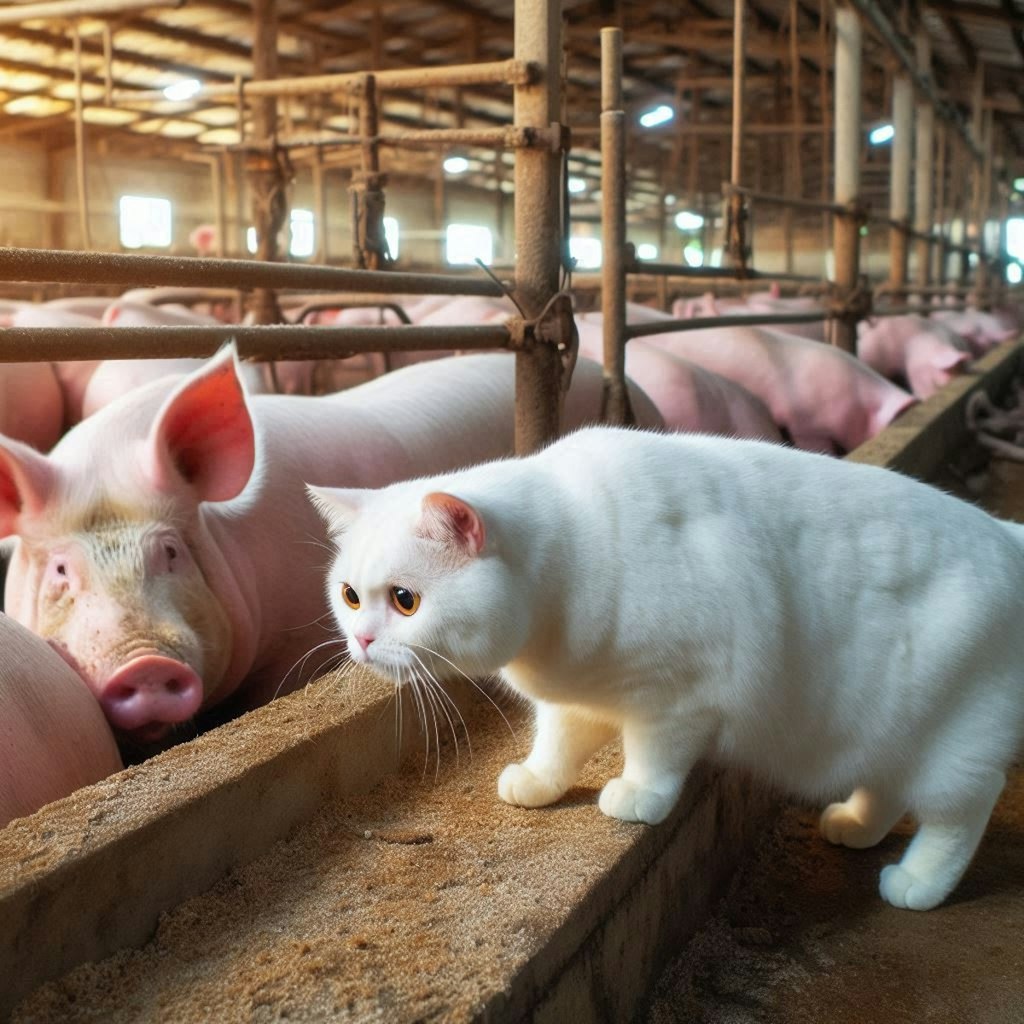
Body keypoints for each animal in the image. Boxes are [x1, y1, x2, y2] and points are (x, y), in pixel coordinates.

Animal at [309, 425, 1024, 913]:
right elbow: (557, 741)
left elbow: (654, 754)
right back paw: (855, 825)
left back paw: (919, 882)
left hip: (950, 748)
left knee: (964, 808)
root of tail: (1007, 536)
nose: (363, 641)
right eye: (350, 596)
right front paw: (539, 781)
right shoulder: (575, 696)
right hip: (887, 729)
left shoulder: (680, 697)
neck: (572, 554)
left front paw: (638, 796)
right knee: (888, 784)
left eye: (406, 600)